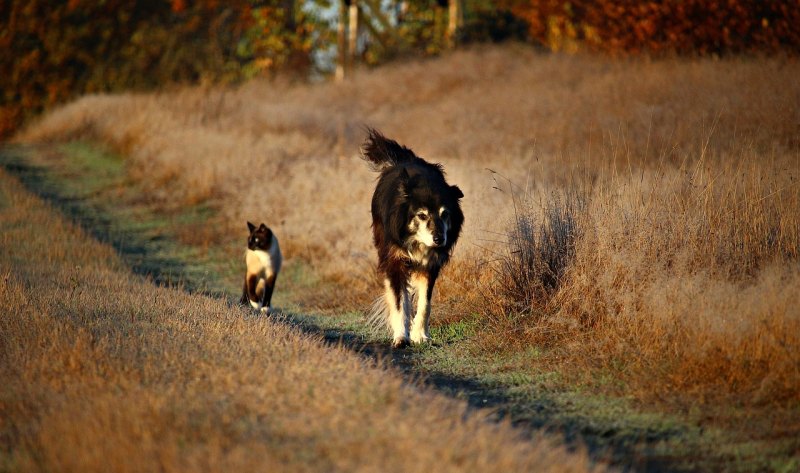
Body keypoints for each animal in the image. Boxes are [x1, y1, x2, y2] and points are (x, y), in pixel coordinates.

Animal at [360, 128, 462, 346]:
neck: (417, 241)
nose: (439, 240)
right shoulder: (394, 259)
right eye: (422, 215)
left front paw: (420, 336)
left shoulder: (430, 265)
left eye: (445, 214)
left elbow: (425, 303)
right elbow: (399, 302)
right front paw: (401, 338)